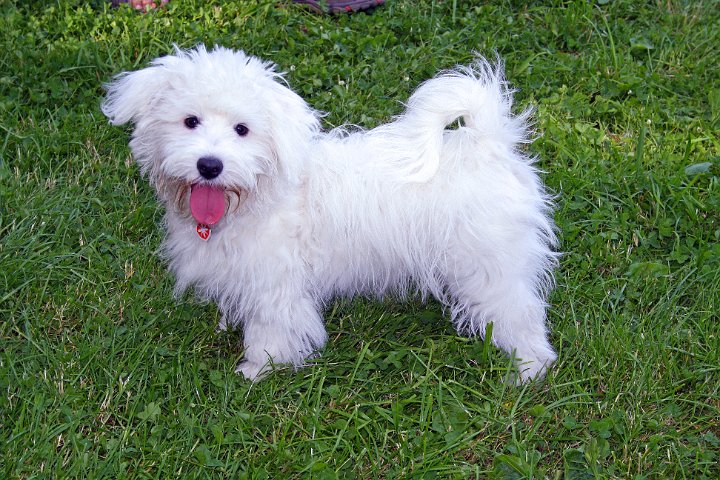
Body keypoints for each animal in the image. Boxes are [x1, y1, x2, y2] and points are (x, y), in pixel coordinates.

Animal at [102, 45, 558, 382]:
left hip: (490, 265)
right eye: (190, 121)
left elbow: (271, 328)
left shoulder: (276, 285)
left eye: (242, 130)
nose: (209, 165)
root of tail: (489, 144)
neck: (261, 193)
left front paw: (259, 368)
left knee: (521, 313)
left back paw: (528, 371)